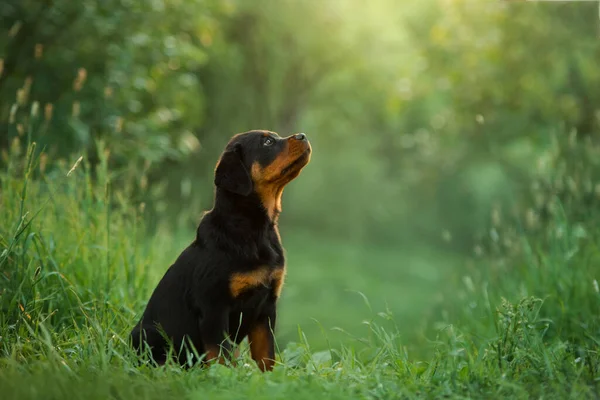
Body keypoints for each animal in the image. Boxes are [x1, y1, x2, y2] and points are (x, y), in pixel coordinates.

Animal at [130, 130, 310, 370]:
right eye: (267, 142)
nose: (302, 135)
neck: (255, 228)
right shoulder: (214, 307)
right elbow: (220, 355)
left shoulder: (266, 307)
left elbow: (266, 355)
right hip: (149, 334)